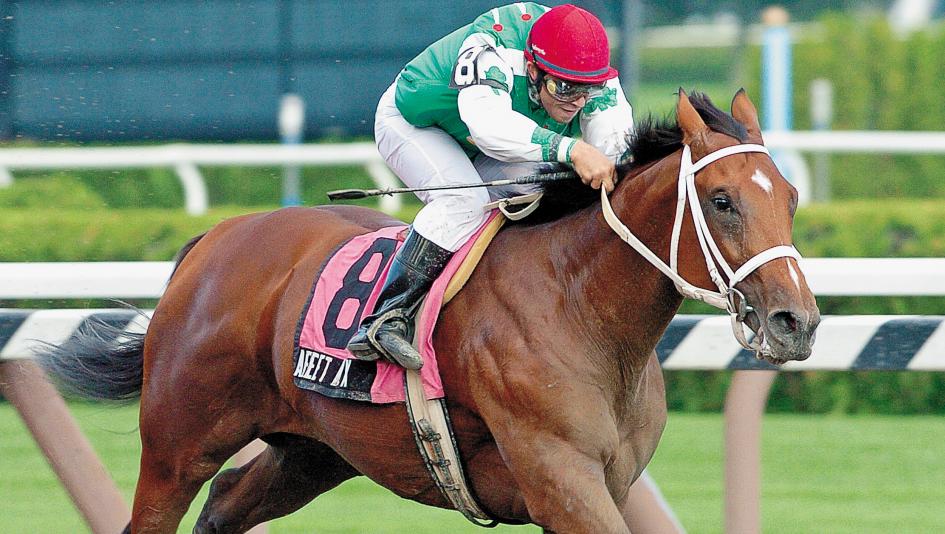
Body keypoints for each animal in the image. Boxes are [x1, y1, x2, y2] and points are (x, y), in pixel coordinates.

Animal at [38, 90, 820, 532]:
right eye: (721, 200)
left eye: (789, 195)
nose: (797, 323)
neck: (582, 308)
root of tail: (212, 241)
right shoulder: (561, 481)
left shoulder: (609, 484)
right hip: (179, 445)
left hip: (317, 450)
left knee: (230, 501)